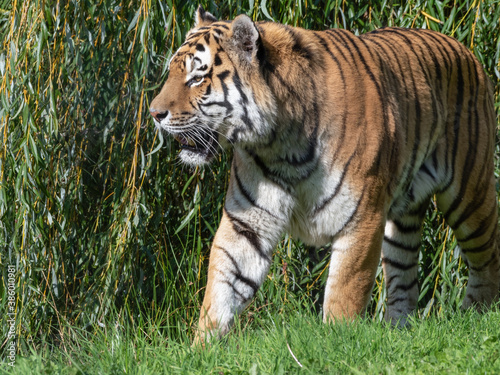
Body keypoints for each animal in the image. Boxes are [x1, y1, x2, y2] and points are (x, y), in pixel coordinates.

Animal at [149, 5, 500, 344]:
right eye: (172, 71)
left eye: (198, 77)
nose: (154, 113)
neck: (278, 144)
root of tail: (465, 49)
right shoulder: (247, 221)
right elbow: (221, 288)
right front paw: (202, 348)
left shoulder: (361, 218)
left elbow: (343, 293)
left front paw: (336, 342)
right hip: (402, 218)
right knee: (404, 275)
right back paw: (397, 330)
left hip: (469, 194)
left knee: (487, 256)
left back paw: (476, 315)